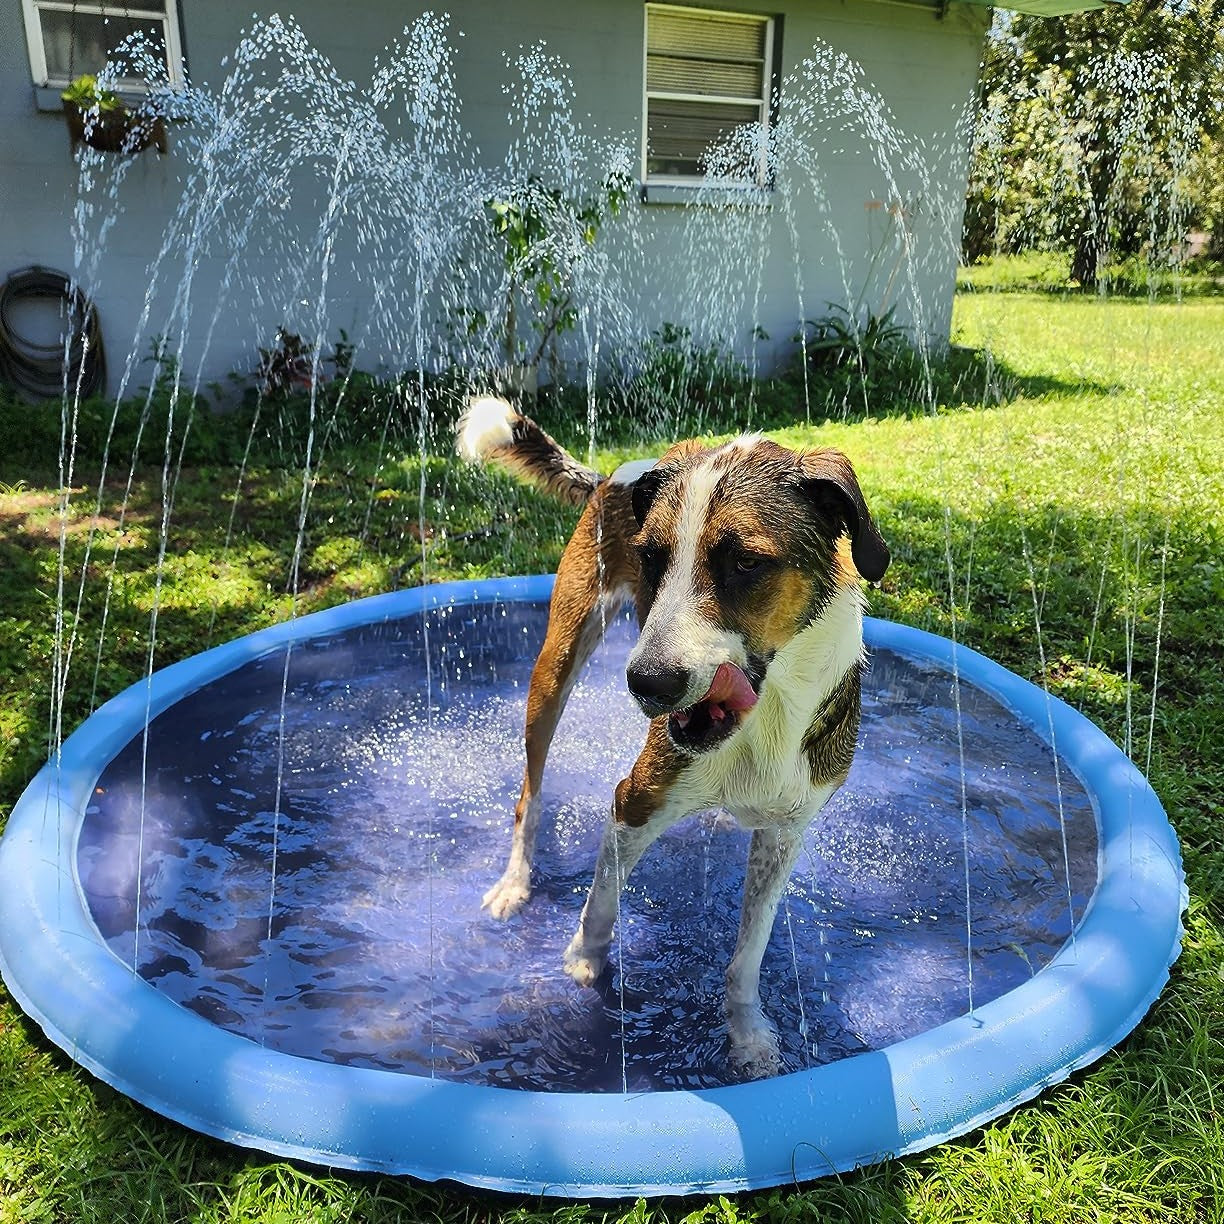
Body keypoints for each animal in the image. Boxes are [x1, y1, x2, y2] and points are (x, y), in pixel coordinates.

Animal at [455, 396, 886, 1077]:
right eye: (652, 559)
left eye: (745, 562)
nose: (647, 685)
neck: (765, 716)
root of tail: (615, 474)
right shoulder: (635, 800)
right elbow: (602, 899)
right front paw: (583, 964)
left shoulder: (786, 831)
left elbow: (749, 953)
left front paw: (747, 1034)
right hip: (556, 664)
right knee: (530, 791)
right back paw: (515, 882)